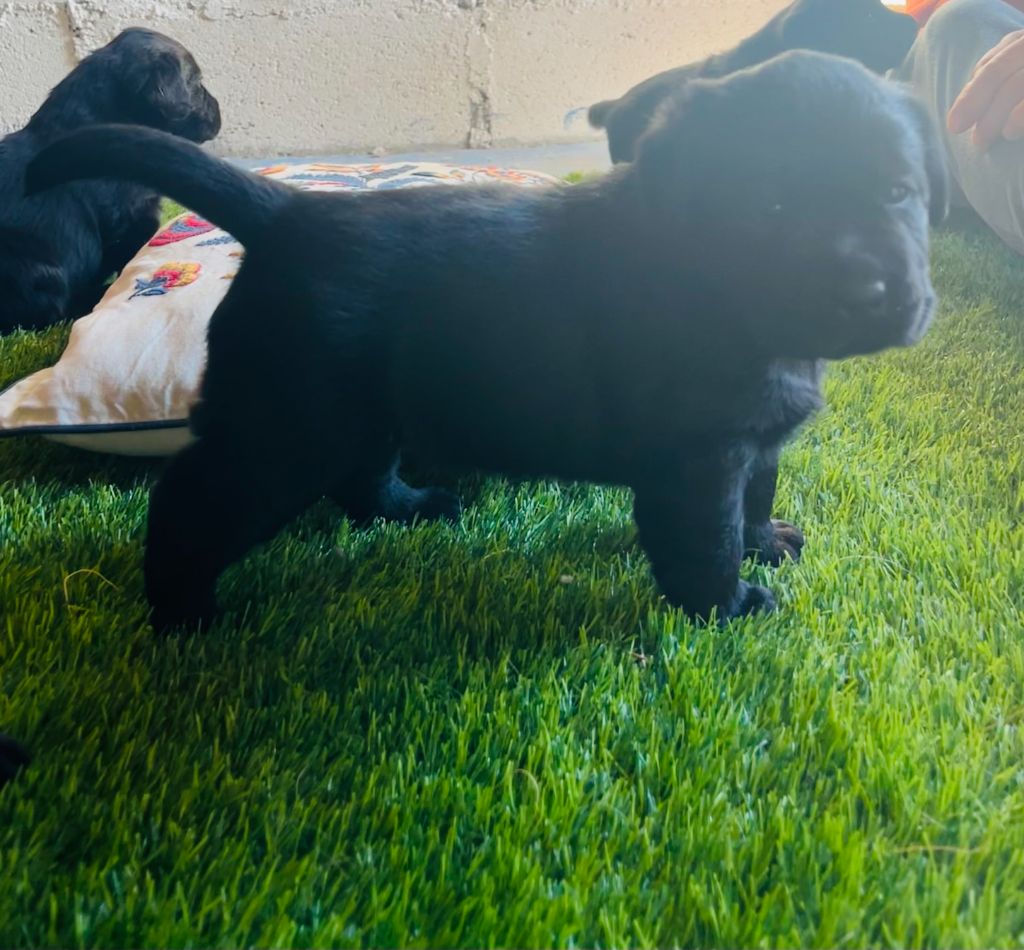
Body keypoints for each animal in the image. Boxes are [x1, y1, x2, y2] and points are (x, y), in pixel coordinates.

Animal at [27, 50, 947, 632]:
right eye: (772, 207)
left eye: (900, 192)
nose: (869, 293)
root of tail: (289, 213)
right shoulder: (698, 457)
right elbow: (706, 538)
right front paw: (727, 607)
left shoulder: (752, 442)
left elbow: (757, 492)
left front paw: (767, 542)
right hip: (286, 431)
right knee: (192, 499)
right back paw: (181, 610)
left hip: (360, 411)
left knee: (361, 479)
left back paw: (411, 508)